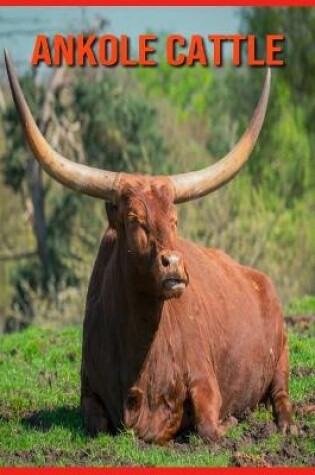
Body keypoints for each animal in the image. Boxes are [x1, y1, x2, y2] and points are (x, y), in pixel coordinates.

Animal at [4, 52, 292, 446]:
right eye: (133, 219)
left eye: (174, 219)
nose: (174, 264)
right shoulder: (88, 392)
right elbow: (95, 424)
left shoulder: (204, 380)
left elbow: (209, 428)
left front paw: (232, 421)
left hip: (281, 356)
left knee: (281, 395)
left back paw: (286, 423)